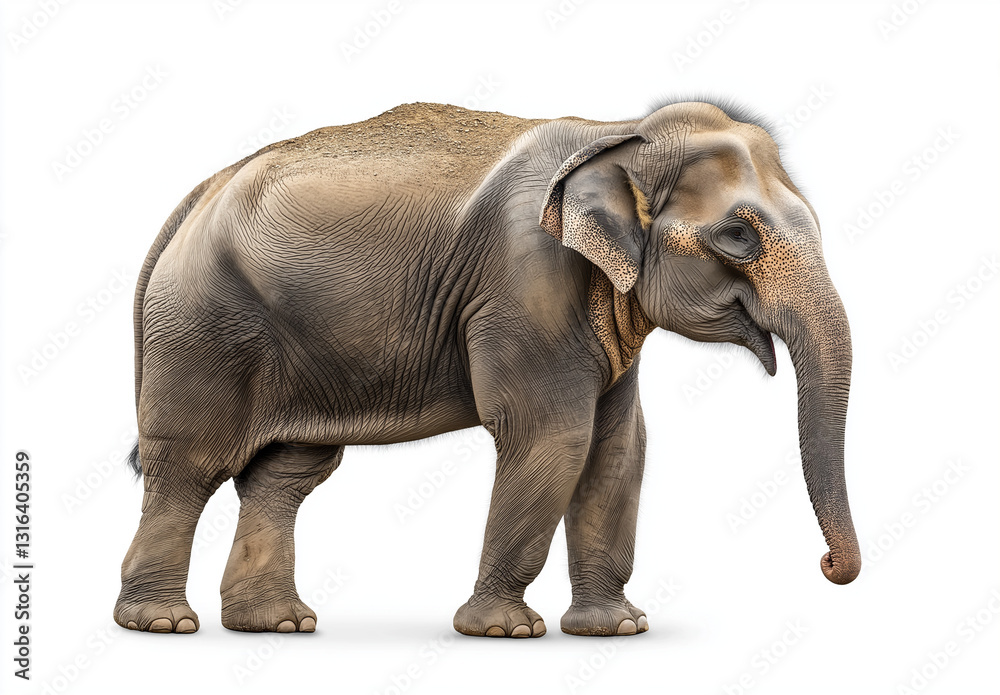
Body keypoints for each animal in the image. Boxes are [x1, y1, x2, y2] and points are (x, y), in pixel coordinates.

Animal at [114, 99, 860, 638]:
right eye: (739, 236)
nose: (827, 565)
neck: (616, 133)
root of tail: (196, 196)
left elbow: (619, 449)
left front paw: (617, 629)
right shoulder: (524, 283)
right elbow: (553, 438)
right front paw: (505, 631)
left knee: (286, 473)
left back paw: (276, 624)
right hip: (204, 326)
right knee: (190, 463)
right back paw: (163, 623)